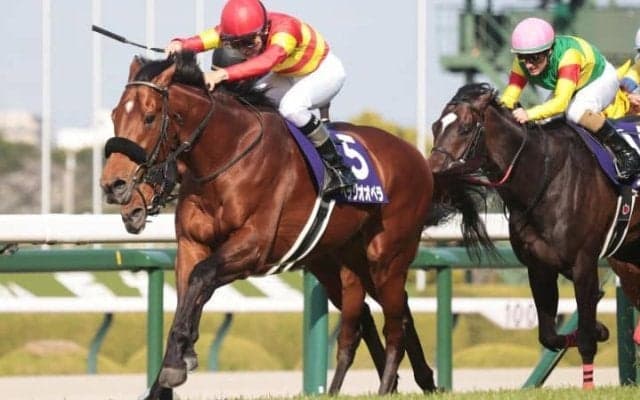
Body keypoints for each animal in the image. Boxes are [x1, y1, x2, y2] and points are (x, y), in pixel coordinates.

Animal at [101, 51, 439, 398]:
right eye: (115, 115)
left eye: (149, 117)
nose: (113, 186)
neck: (228, 152)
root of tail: (415, 155)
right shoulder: (192, 244)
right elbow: (189, 295)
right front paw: (172, 369)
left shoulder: (254, 247)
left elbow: (201, 279)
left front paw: (177, 362)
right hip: (342, 261)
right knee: (380, 315)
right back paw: (414, 381)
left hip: (387, 257)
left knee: (395, 322)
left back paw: (389, 385)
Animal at [427, 82, 640, 389]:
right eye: (435, 126)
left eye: (466, 128)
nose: (432, 175)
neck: (545, 175)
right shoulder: (540, 267)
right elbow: (550, 336)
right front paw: (599, 328)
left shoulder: (584, 263)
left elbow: (586, 337)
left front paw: (588, 383)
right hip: (627, 258)